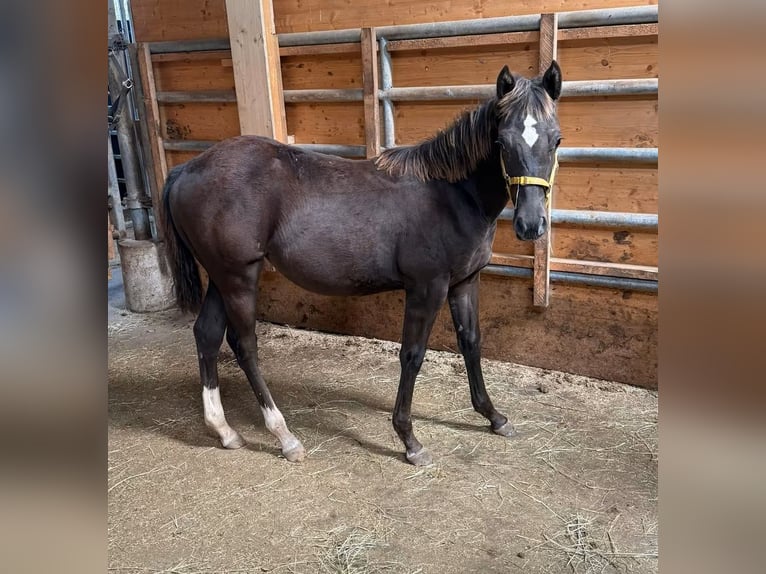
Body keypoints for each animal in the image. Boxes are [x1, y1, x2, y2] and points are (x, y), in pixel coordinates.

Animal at [161, 61, 562, 466]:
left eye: (556, 140)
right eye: (502, 142)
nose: (531, 224)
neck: (450, 195)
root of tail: (186, 169)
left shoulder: (464, 283)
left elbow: (472, 343)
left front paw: (493, 416)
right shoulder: (427, 287)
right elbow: (412, 355)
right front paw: (409, 440)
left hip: (221, 277)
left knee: (207, 335)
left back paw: (225, 430)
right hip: (239, 278)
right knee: (244, 345)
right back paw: (285, 436)